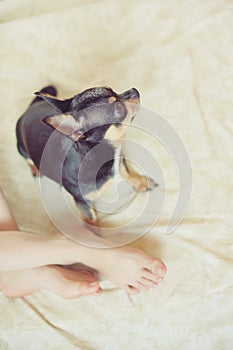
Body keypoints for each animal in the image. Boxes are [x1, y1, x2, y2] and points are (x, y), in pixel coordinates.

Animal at [15, 85, 157, 227]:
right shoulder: (82, 203)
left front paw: (141, 182)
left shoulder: (119, 158)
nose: (133, 90)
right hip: (21, 149)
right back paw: (35, 170)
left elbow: (126, 171)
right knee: (29, 161)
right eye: (119, 109)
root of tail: (28, 110)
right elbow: (92, 220)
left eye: (111, 88)